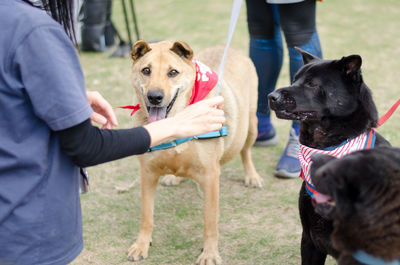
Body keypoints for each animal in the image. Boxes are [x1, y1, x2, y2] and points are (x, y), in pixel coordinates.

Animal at [126, 40, 260, 262]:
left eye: (172, 72)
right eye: (146, 70)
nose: (155, 97)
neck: (176, 124)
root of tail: (229, 47)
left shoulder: (211, 177)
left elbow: (210, 221)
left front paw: (210, 254)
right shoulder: (148, 174)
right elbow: (146, 216)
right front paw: (141, 245)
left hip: (251, 125)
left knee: (246, 151)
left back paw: (252, 176)